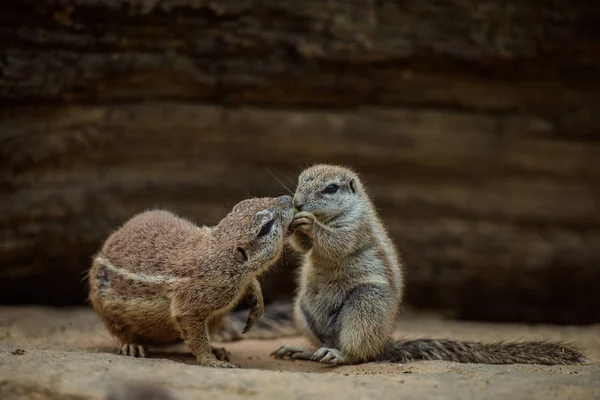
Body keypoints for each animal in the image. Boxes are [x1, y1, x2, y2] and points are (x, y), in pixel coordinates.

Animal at [88, 195, 294, 368]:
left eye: (247, 202)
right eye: (266, 227)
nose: (288, 198)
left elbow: (253, 285)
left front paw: (257, 302)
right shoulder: (192, 302)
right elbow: (194, 334)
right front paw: (211, 361)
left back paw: (218, 349)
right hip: (108, 310)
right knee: (124, 334)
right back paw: (133, 346)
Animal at [268, 165, 584, 366]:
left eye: (331, 188)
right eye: (300, 181)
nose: (297, 202)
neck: (337, 215)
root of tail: (383, 344)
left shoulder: (356, 228)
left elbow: (337, 243)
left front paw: (309, 223)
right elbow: (306, 248)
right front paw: (296, 224)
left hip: (367, 304)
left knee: (358, 353)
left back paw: (339, 355)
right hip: (301, 309)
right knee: (322, 343)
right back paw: (303, 350)